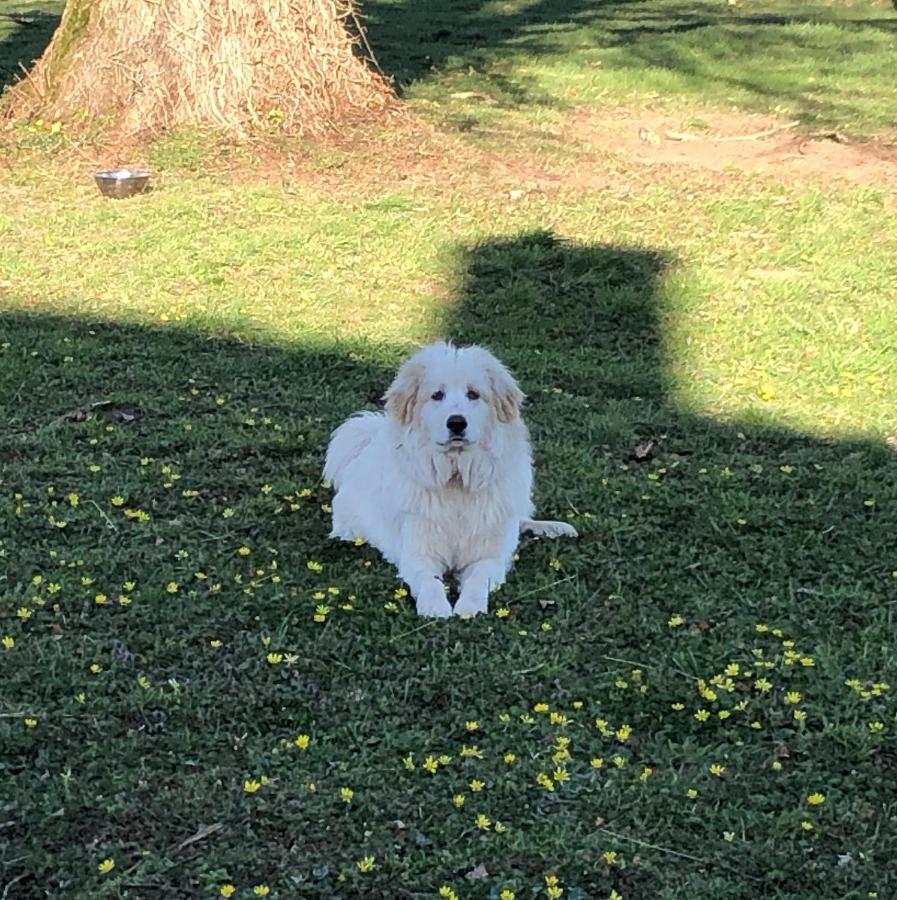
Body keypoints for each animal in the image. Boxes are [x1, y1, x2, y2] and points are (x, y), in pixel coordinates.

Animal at [322, 342, 576, 616]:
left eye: (473, 394)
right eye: (437, 395)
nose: (456, 423)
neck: (456, 478)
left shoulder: (488, 557)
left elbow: (478, 580)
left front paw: (468, 607)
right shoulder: (419, 553)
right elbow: (429, 581)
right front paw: (435, 608)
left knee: (521, 521)